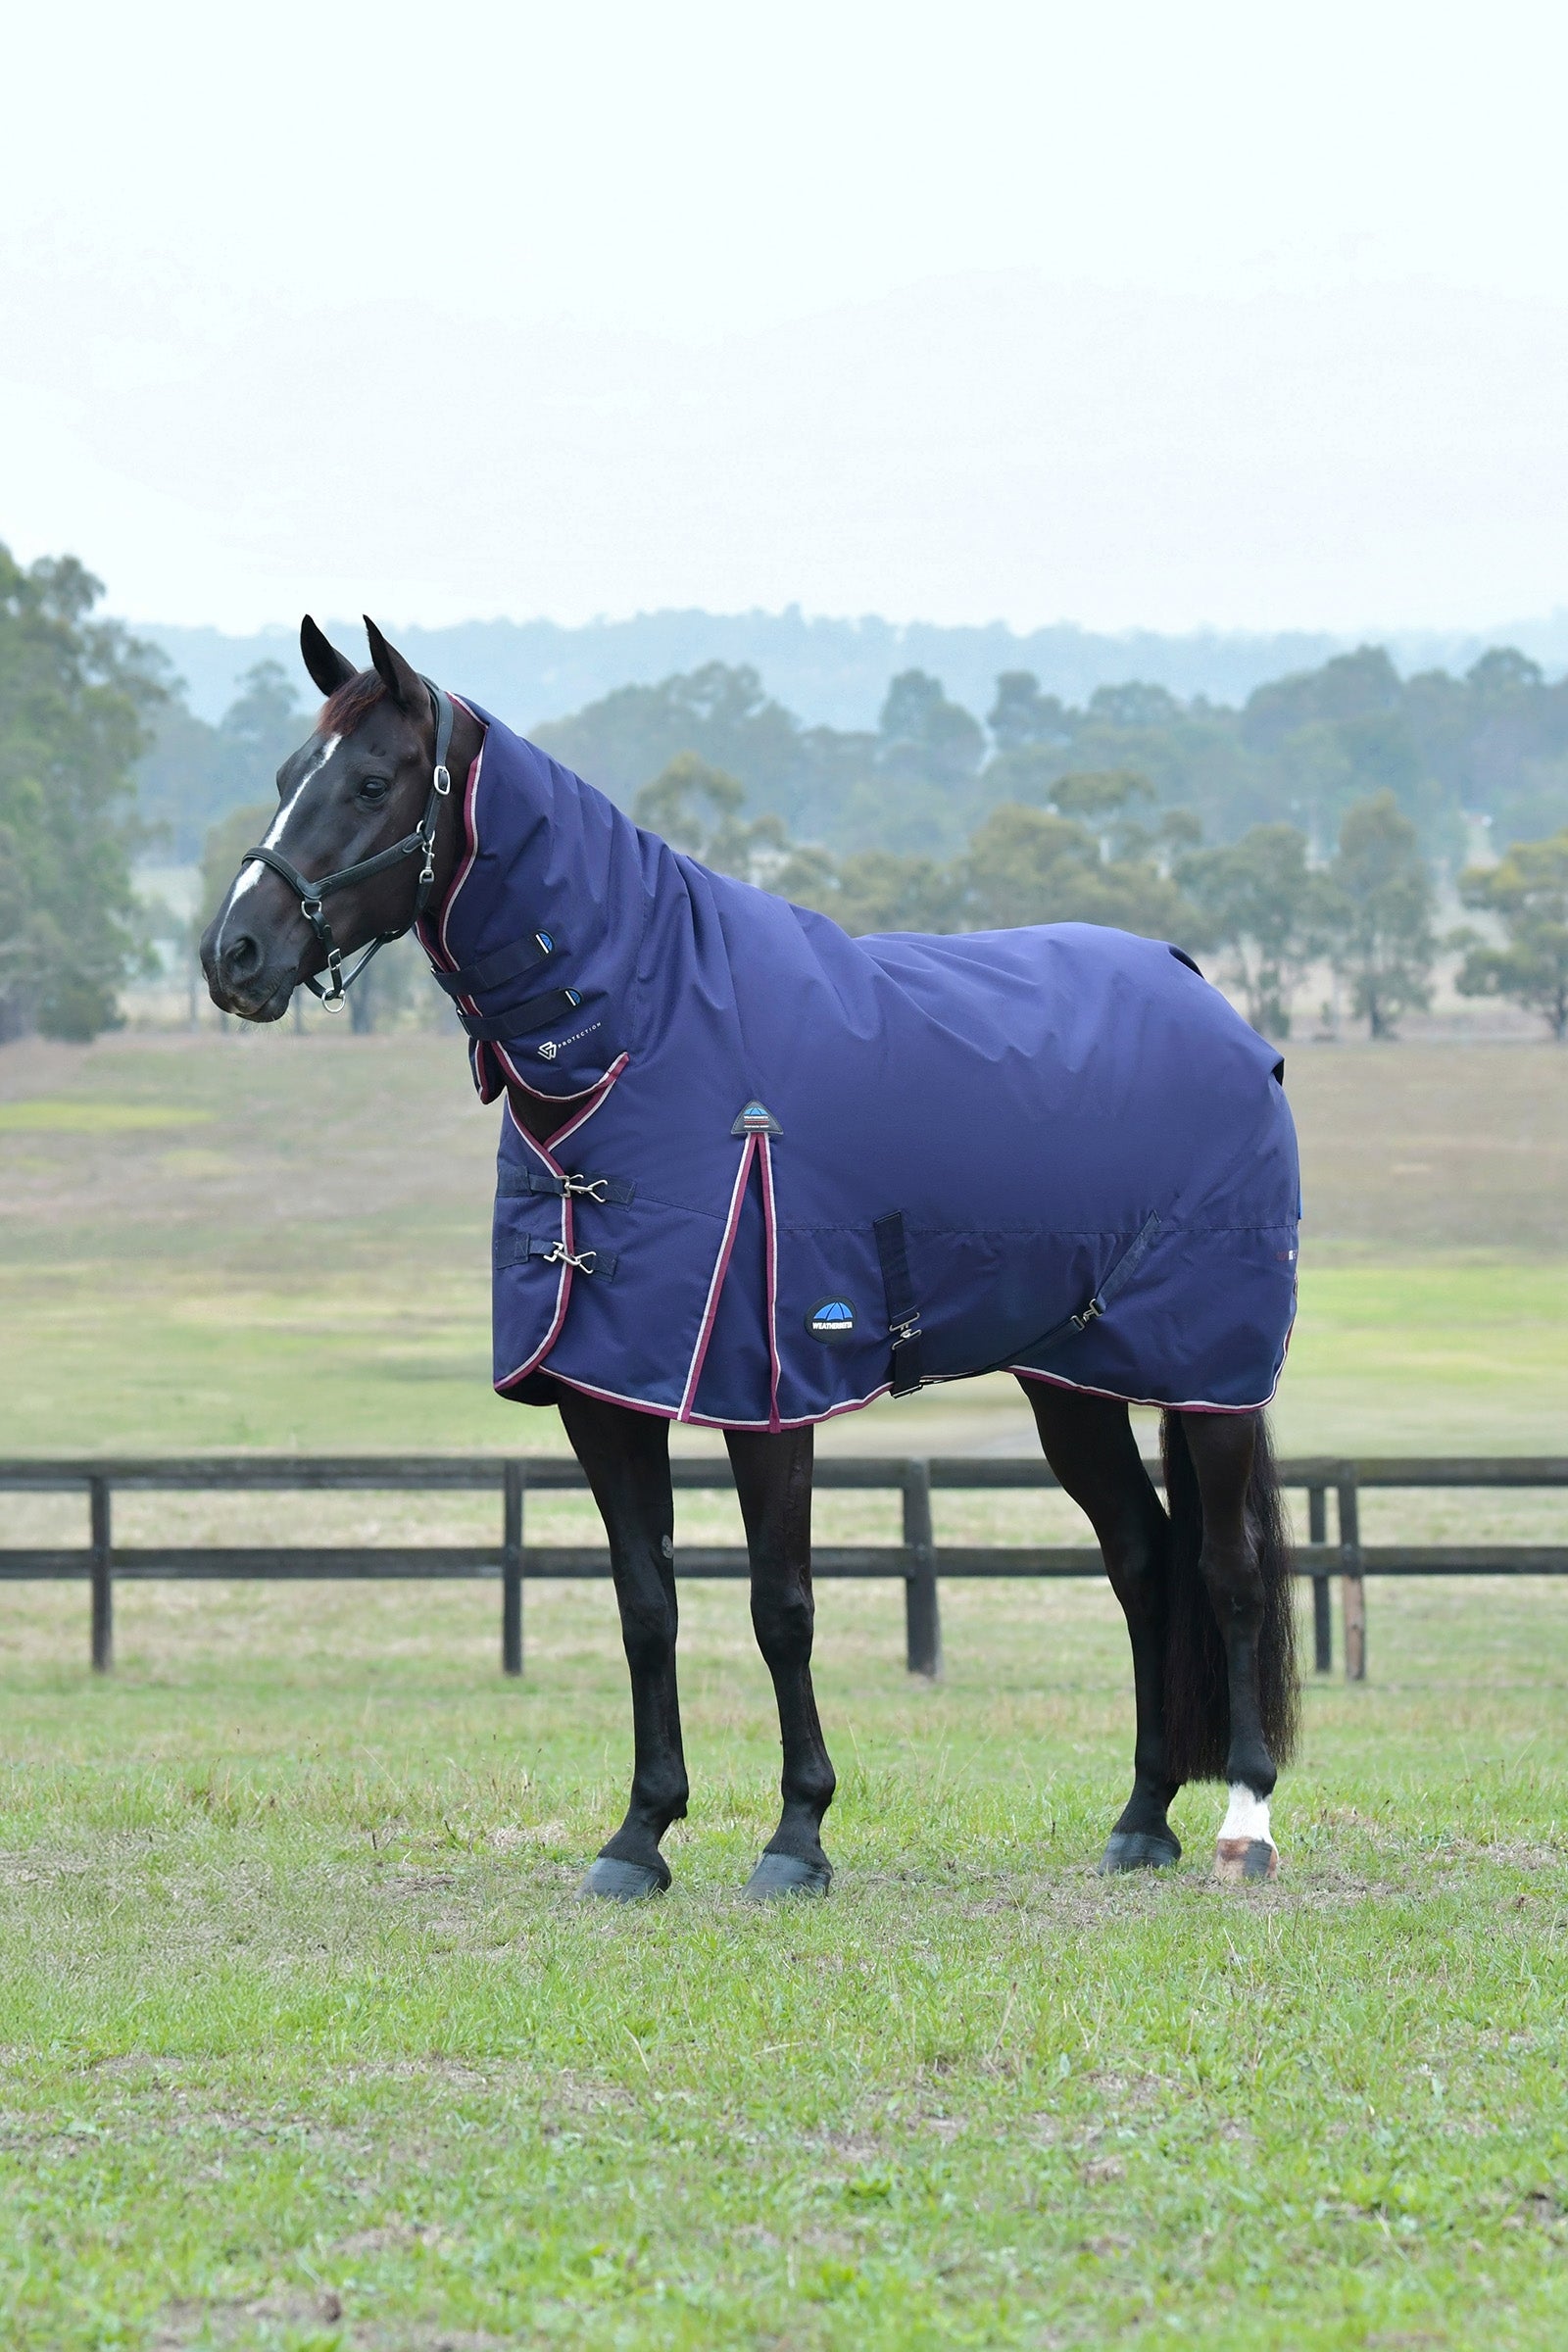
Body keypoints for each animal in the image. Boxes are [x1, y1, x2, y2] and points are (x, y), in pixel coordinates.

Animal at [200, 616, 1299, 1901]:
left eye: (372, 782)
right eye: (288, 774)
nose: (234, 954)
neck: (645, 1037)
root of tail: (1203, 996)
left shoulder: (767, 1389)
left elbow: (782, 1606)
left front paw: (797, 1835)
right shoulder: (604, 1390)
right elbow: (646, 1604)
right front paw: (639, 1836)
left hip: (1210, 1378)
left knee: (1226, 1568)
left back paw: (1243, 1823)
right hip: (1069, 1383)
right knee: (1141, 1560)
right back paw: (1140, 1820)